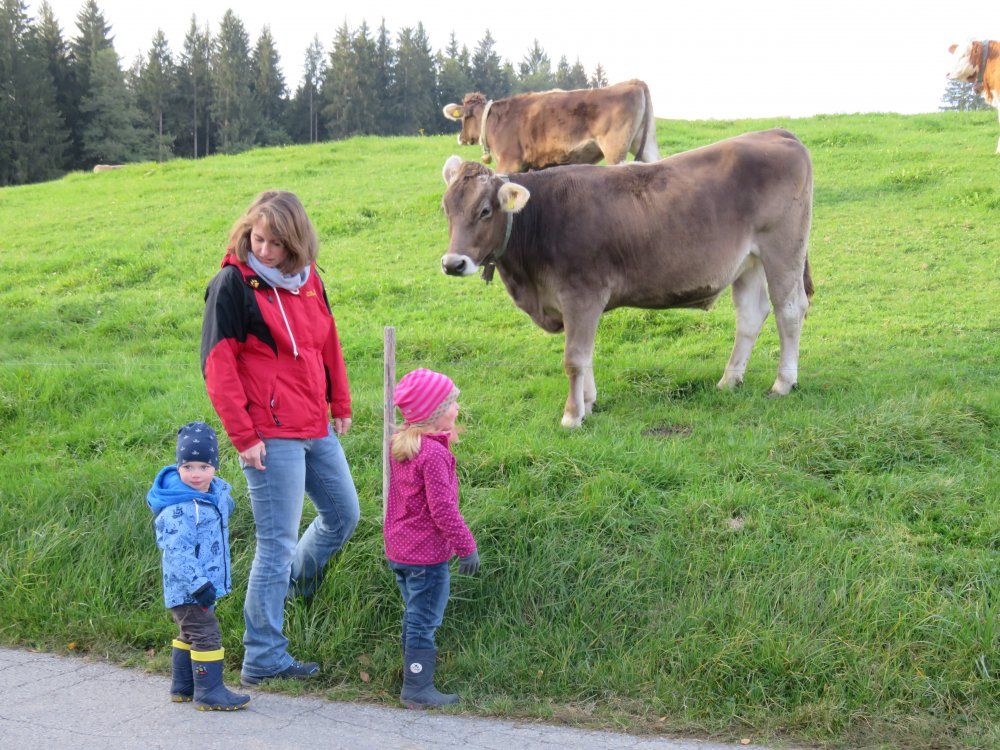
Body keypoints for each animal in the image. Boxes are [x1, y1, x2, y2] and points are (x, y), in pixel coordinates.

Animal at [439, 129, 814, 428]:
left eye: (485, 211)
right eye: (446, 209)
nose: (453, 263)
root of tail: (774, 133)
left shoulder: (582, 295)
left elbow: (574, 358)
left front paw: (572, 416)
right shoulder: (577, 304)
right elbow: (587, 354)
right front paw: (588, 402)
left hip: (782, 248)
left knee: (789, 310)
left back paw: (783, 383)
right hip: (749, 262)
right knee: (750, 316)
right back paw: (729, 381)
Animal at [441, 80, 660, 173]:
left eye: (463, 119)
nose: (460, 138)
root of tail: (633, 83)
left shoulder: (510, 162)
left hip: (615, 148)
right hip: (645, 142)